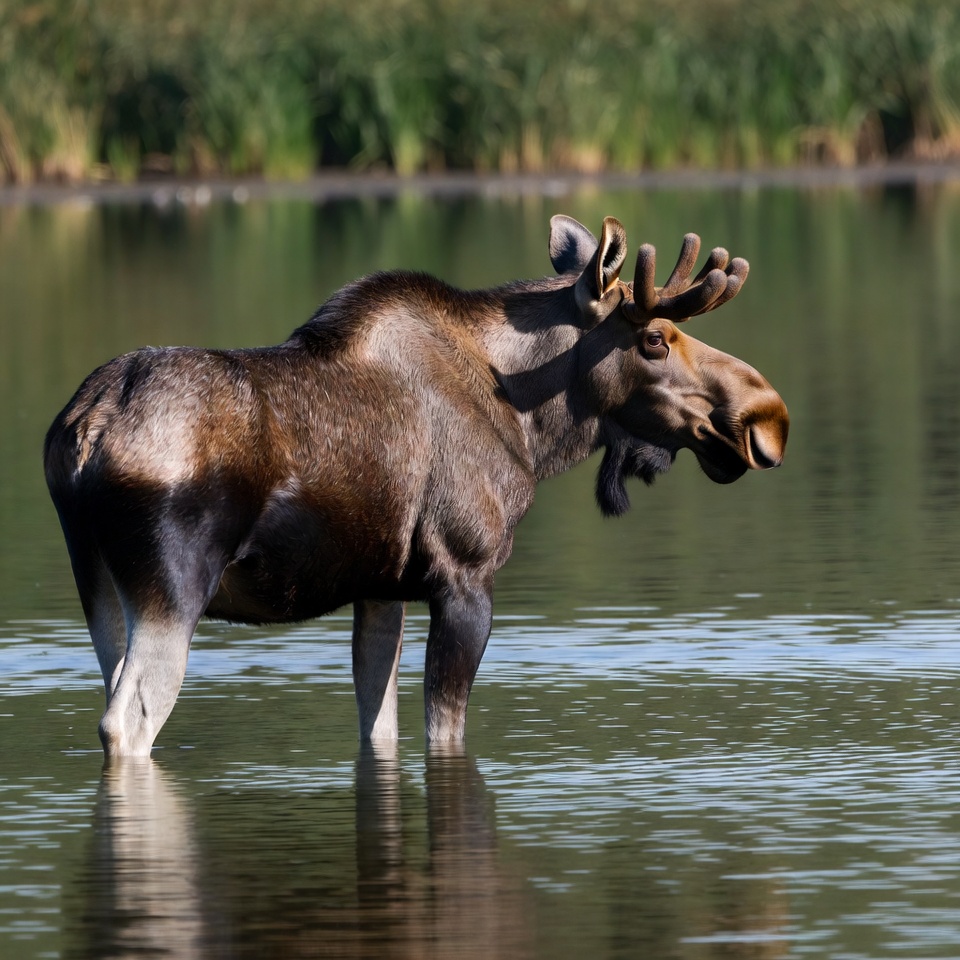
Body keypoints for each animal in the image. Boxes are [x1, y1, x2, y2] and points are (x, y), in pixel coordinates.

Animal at [44, 214, 789, 758]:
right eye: (655, 340)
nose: (767, 415)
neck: (533, 429)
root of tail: (84, 429)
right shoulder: (465, 577)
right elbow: (444, 733)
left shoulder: (382, 587)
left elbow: (379, 728)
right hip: (172, 591)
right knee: (126, 722)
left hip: (99, 587)